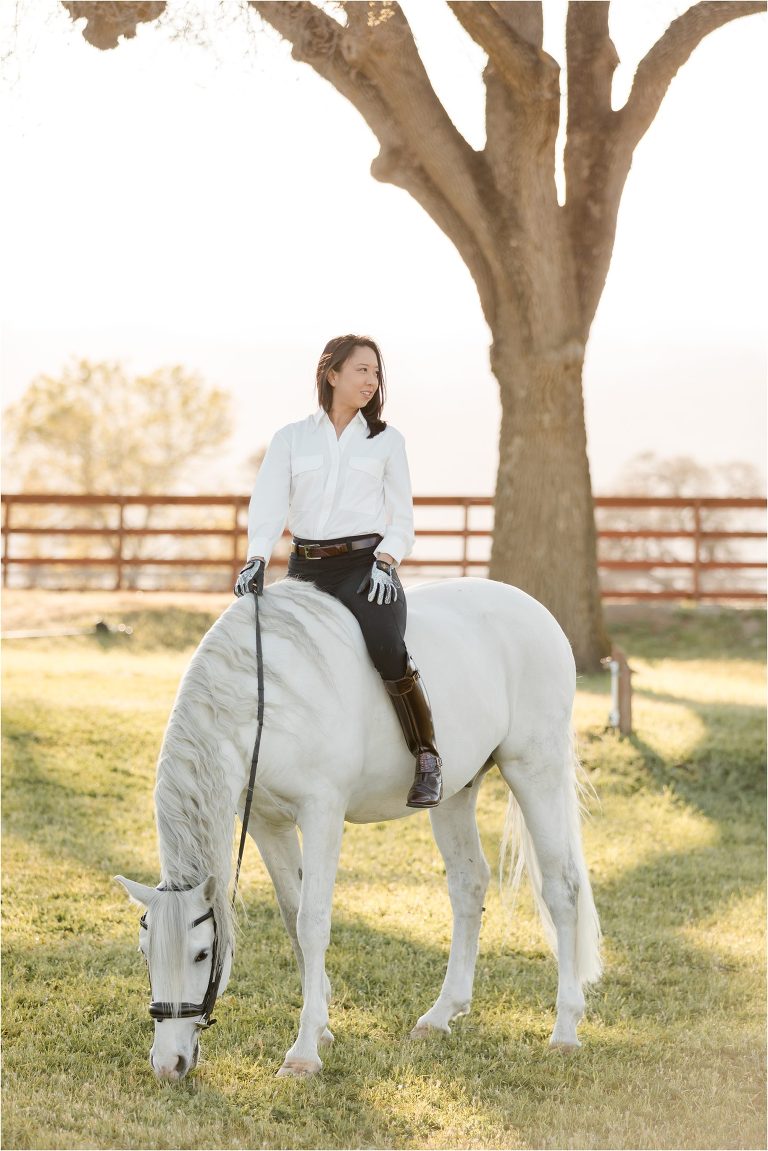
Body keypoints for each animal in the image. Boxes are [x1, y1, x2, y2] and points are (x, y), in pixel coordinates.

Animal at [117, 580, 603, 1081]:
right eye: (144, 952)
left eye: (200, 954)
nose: (168, 1063)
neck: (263, 702)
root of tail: (535, 610)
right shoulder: (269, 825)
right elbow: (292, 917)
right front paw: (323, 1028)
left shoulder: (323, 813)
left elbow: (312, 922)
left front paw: (304, 1052)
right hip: (456, 794)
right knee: (469, 884)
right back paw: (440, 1015)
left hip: (535, 768)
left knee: (562, 887)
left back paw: (565, 1031)